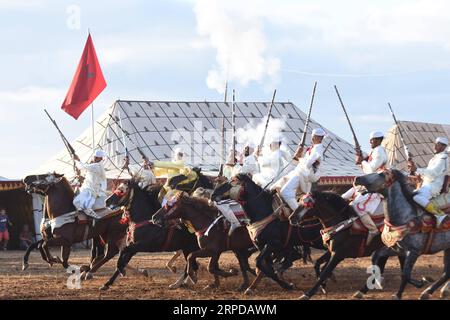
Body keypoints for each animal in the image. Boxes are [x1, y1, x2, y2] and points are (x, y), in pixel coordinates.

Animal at [294, 189, 430, 298]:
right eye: (299, 202)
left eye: (307, 205)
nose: (291, 218)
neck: (342, 223)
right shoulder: (332, 251)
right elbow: (319, 265)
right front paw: (323, 286)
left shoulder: (338, 255)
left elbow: (324, 272)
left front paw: (308, 293)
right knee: (389, 266)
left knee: (399, 267)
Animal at [356, 170, 450, 300]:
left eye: (381, 174)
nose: (357, 178)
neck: (405, 217)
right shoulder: (397, 249)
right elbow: (375, 257)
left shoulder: (413, 252)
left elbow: (405, 274)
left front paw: (398, 294)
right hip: (447, 248)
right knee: (446, 273)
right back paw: (428, 292)